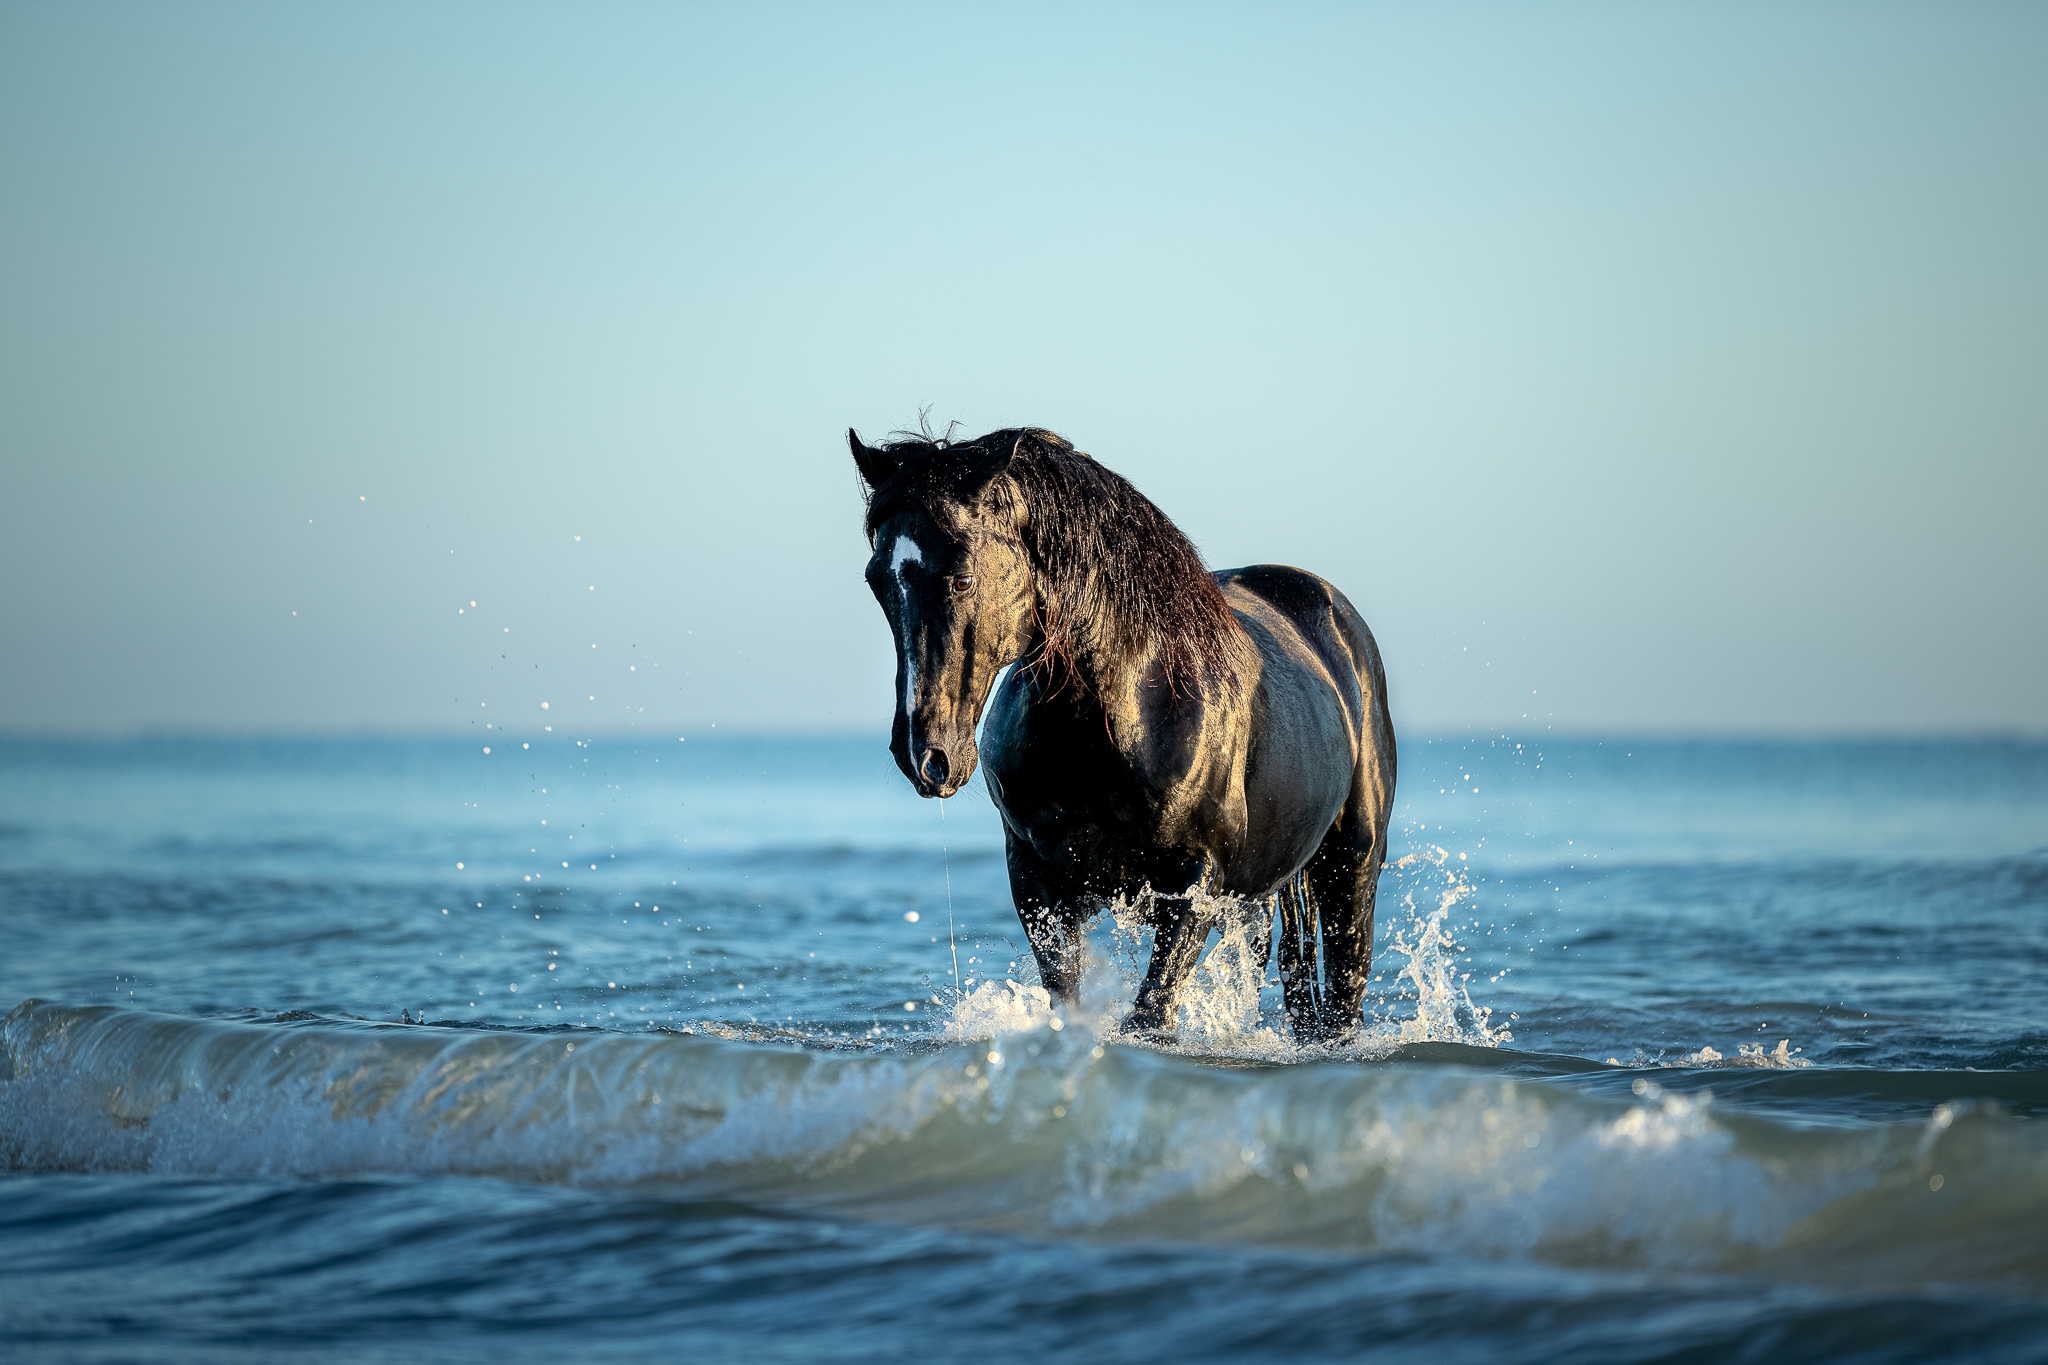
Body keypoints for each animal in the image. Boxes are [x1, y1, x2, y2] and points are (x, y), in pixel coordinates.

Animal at [847, 423, 1392, 1035]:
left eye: (963, 578)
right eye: (877, 580)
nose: (924, 755)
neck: (1121, 719)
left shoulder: (1193, 885)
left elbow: (1150, 1016)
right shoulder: (1038, 884)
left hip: (1352, 870)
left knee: (1343, 999)